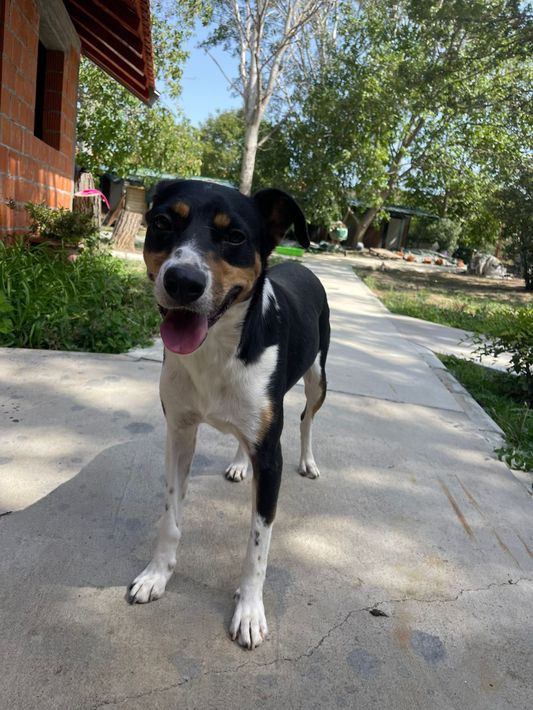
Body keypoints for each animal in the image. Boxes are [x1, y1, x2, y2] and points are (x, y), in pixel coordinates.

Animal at [127, 179, 330, 649]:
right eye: (162, 222)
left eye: (235, 236)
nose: (183, 281)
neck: (216, 348)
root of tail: (305, 268)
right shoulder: (179, 432)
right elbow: (170, 518)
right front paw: (156, 575)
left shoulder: (271, 458)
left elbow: (258, 546)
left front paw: (250, 610)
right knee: (244, 436)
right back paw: (240, 464)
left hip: (318, 377)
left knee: (306, 420)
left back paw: (308, 460)